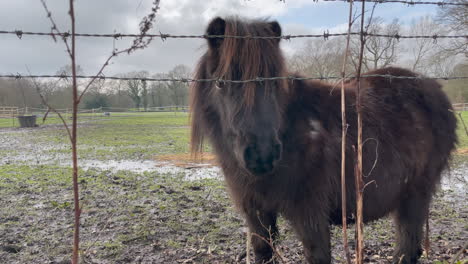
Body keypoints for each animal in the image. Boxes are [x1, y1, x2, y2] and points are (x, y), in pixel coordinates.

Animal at [189, 17, 458, 264]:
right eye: (220, 83)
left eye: (275, 81)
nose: (261, 155)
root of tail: (436, 91)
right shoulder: (256, 212)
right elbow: (264, 251)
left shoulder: (310, 214)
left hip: (415, 195)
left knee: (407, 247)